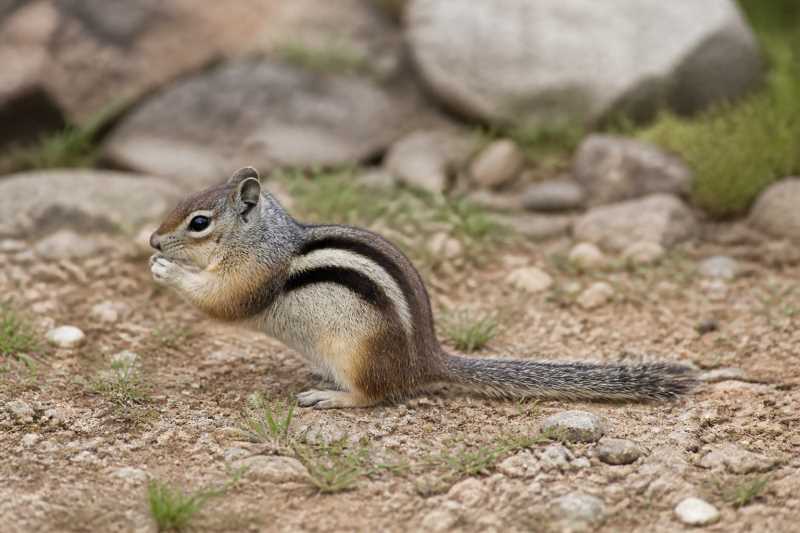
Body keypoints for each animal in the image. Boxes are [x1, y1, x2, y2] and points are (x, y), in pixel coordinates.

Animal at [149, 167, 696, 409]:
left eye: (199, 223)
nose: (153, 239)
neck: (264, 237)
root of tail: (424, 361)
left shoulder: (254, 274)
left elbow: (224, 302)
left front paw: (166, 270)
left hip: (357, 352)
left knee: (373, 396)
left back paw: (333, 398)